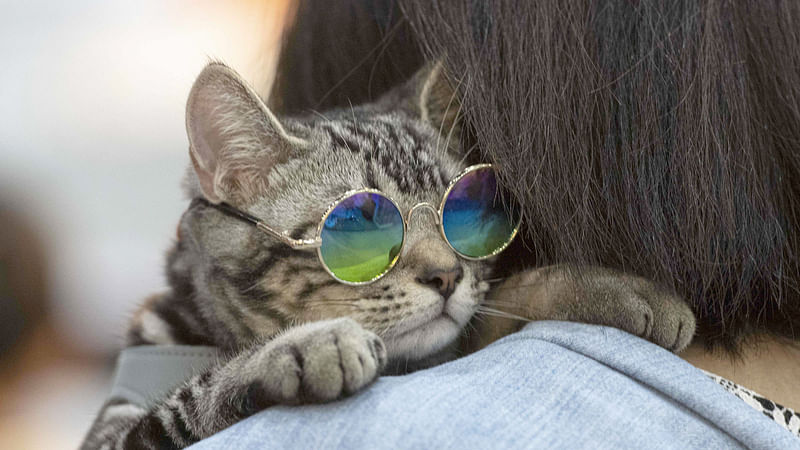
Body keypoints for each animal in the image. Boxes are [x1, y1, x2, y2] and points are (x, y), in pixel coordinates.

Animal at [79, 61, 692, 448]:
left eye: (465, 216)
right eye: (359, 229)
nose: (446, 276)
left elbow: (490, 312)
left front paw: (605, 288)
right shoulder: (114, 434)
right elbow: (189, 399)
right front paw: (305, 346)